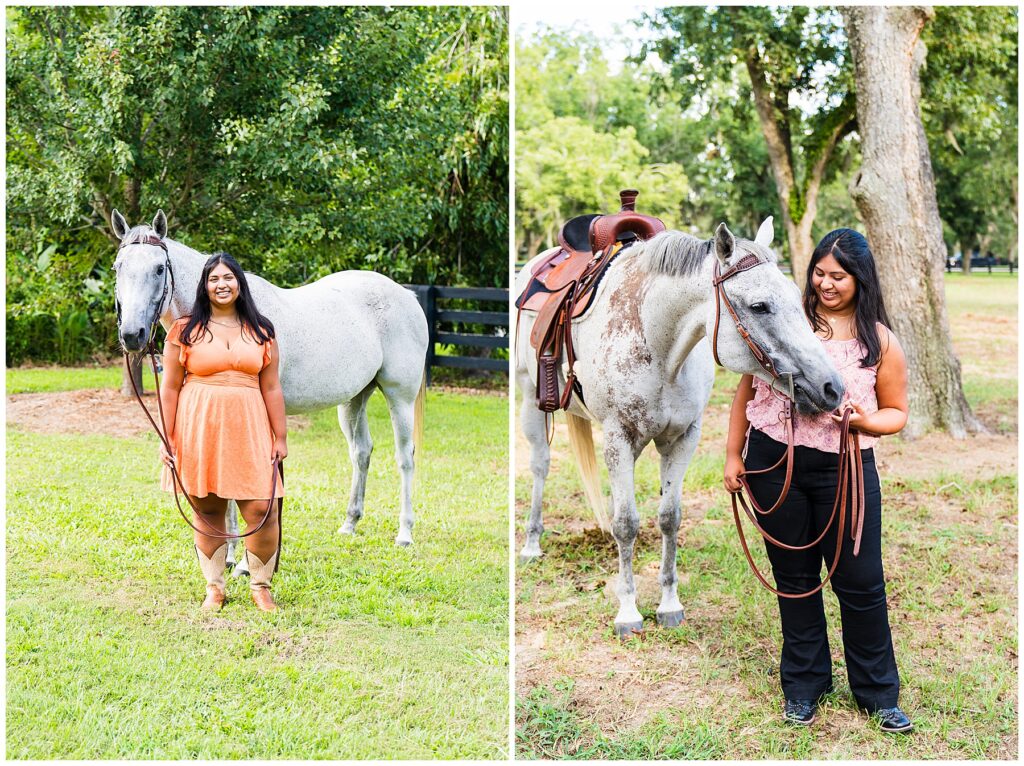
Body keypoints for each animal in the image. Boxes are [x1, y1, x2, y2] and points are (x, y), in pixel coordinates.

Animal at [112, 211, 428, 573]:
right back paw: (350, 523)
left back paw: (405, 533)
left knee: (405, 457)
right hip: (354, 399)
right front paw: (229, 556)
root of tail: (406, 296)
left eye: (159, 269)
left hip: (399, 397)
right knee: (361, 452)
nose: (132, 334)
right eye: (118, 267)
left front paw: (247, 563)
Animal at [516, 218, 843, 639]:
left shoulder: (682, 438)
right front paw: (628, 611)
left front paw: (669, 604)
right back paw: (531, 544)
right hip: (531, 400)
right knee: (540, 467)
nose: (832, 387)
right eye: (759, 306)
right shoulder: (619, 437)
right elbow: (627, 523)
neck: (658, 345)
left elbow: (669, 518)